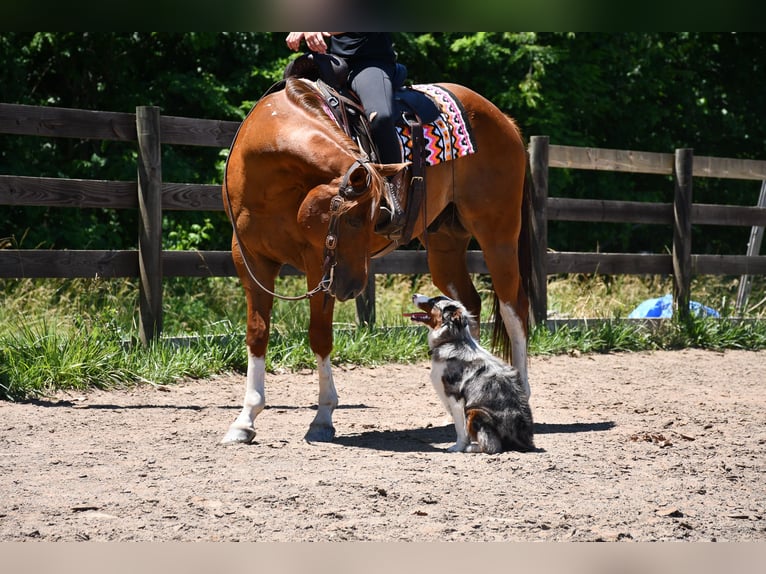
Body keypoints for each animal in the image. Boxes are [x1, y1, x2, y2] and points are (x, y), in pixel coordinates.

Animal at [221, 77, 531, 444]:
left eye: (377, 217)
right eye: (355, 220)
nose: (353, 287)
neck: (268, 179)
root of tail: (504, 120)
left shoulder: (318, 265)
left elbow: (320, 335)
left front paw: (323, 418)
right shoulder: (249, 259)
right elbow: (257, 333)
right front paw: (244, 421)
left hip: (498, 236)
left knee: (515, 310)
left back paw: (521, 393)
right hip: (445, 244)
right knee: (469, 304)